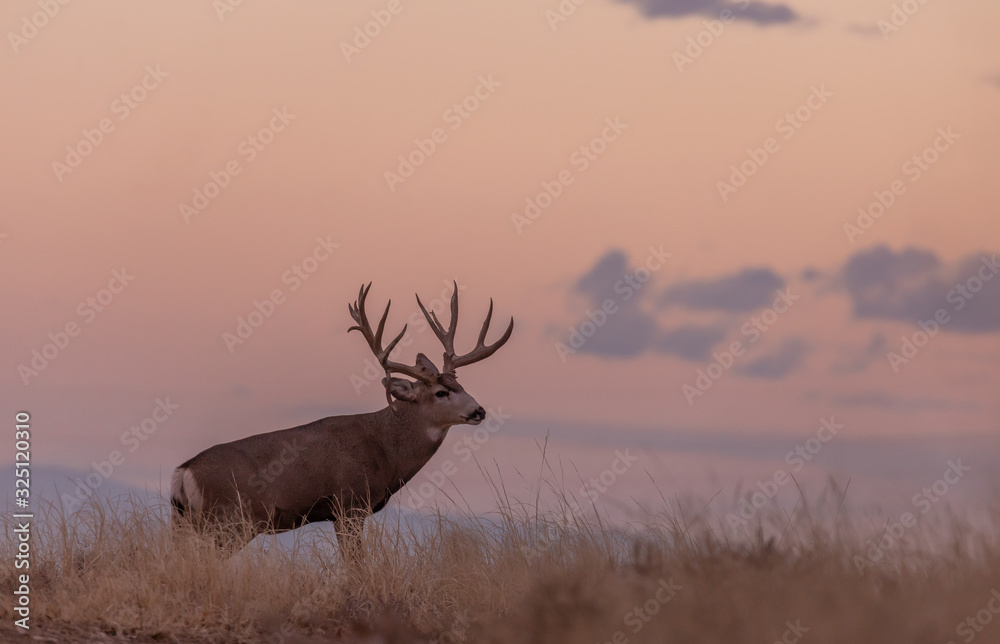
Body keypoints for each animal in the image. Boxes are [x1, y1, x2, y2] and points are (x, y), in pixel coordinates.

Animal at [169, 282, 513, 559]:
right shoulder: (350, 503)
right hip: (227, 520)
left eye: (460, 384)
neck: (387, 449)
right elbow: (355, 563)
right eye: (441, 392)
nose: (478, 411)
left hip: (192, 522)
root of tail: (183, 472)